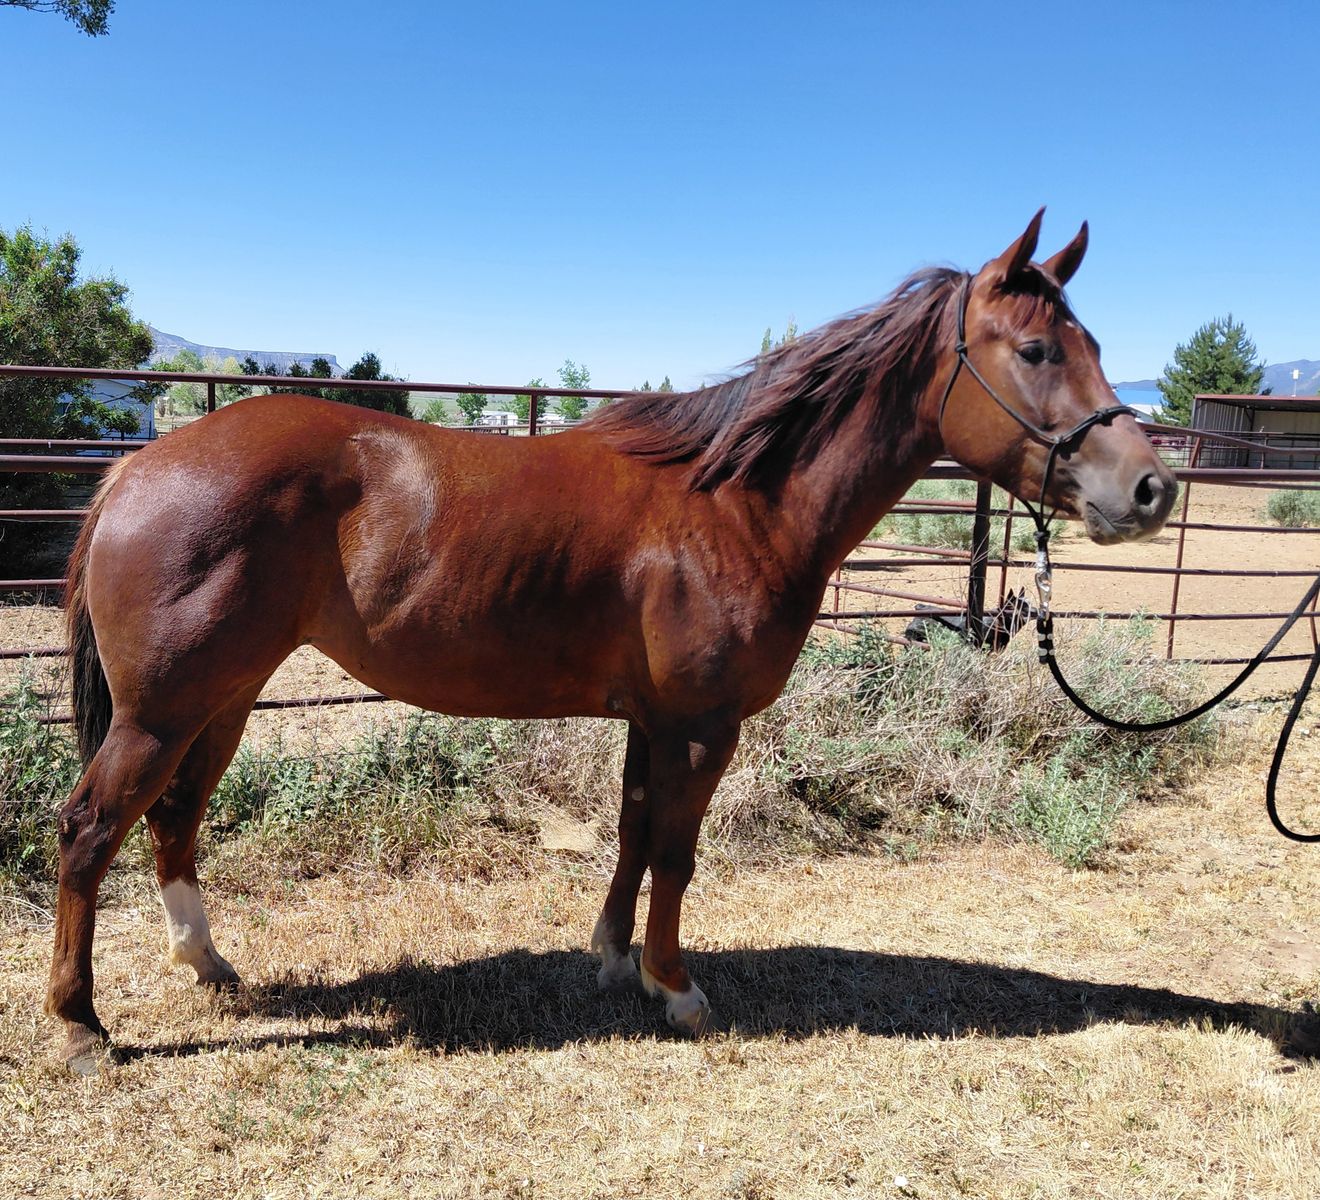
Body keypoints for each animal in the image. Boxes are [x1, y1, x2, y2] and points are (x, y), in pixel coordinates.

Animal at [46, 212, 1176, 1070]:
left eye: (1095, 350)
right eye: (1035, 351)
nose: (1151, 488)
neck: (735, 503)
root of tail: (138, 468)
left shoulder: (651, 721)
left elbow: (633, 835)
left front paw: (612, 960)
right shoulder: (703, 724)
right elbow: (676, 852)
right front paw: (676, 990)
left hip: (222, 701)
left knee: (174, 821)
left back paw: (209, 968)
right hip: (164, 713)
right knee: (91, 829)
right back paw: (82, 1028)